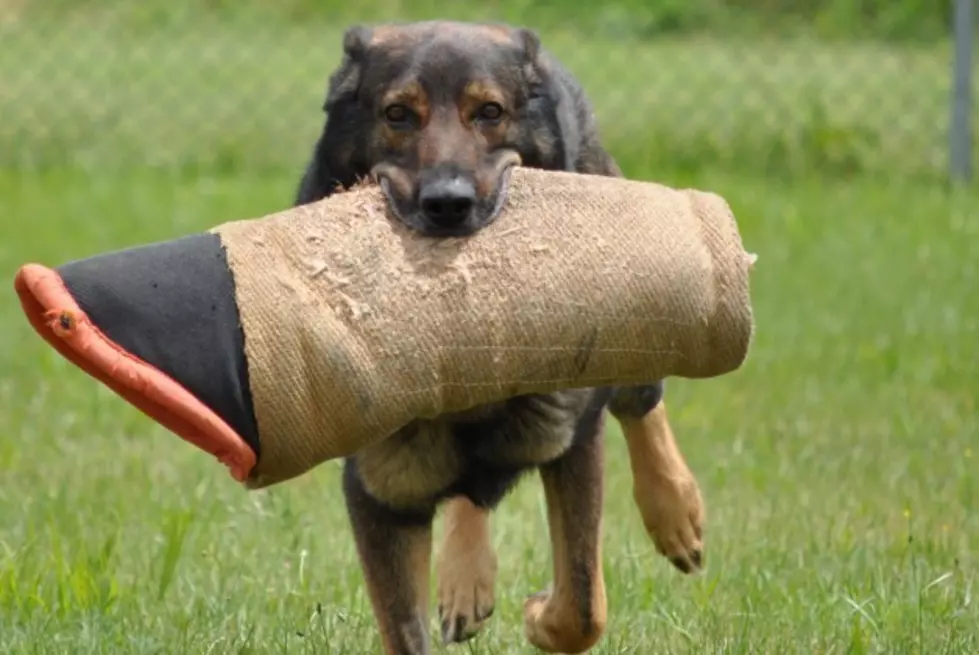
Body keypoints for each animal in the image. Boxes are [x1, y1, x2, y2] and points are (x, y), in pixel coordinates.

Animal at [294, 19, 708, 652]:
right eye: (397, 114)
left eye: (489, 112)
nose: (448, 205)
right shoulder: (383, 494)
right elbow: (406, 627)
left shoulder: (572, 443)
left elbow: (583, 605)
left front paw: (539, 618)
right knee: (474, 492)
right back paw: (467, 580)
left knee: (638, 400)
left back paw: (675, 509)